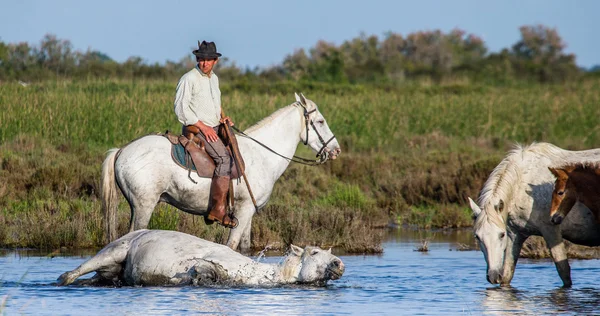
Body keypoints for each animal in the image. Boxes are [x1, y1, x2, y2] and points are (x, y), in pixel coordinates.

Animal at [101, 92, 340, 251]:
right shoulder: (244, 211)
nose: (336, 150)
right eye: (320, 121)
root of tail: (121, 150)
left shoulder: (247, 213)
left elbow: (244, 248)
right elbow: (231, 246)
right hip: (144, 206)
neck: (263, 154)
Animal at [472, 142, 600, 288]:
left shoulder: (551, 230)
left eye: (501, 235)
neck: (522, 182)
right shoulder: (515, 234)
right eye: (477, 237)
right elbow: (507, 275)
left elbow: (564, 271)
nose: (493, 276)